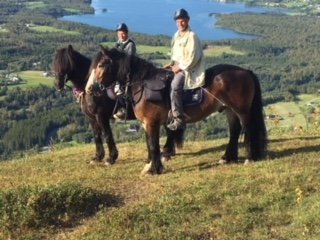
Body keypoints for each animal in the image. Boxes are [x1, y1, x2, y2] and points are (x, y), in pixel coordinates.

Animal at [93, 46, 268, 174]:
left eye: (101, 65)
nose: (93, 88)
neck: (142, 85)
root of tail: (246, 72)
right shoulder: (146, 124)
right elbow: (150, 144)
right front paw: (151, 165)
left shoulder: (151, 123)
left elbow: (153, 145)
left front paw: (155, 169)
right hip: (229, 109)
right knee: (234, 130)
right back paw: (227, 158)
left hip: (242, 110)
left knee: (249, 129)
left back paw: (250, 158)